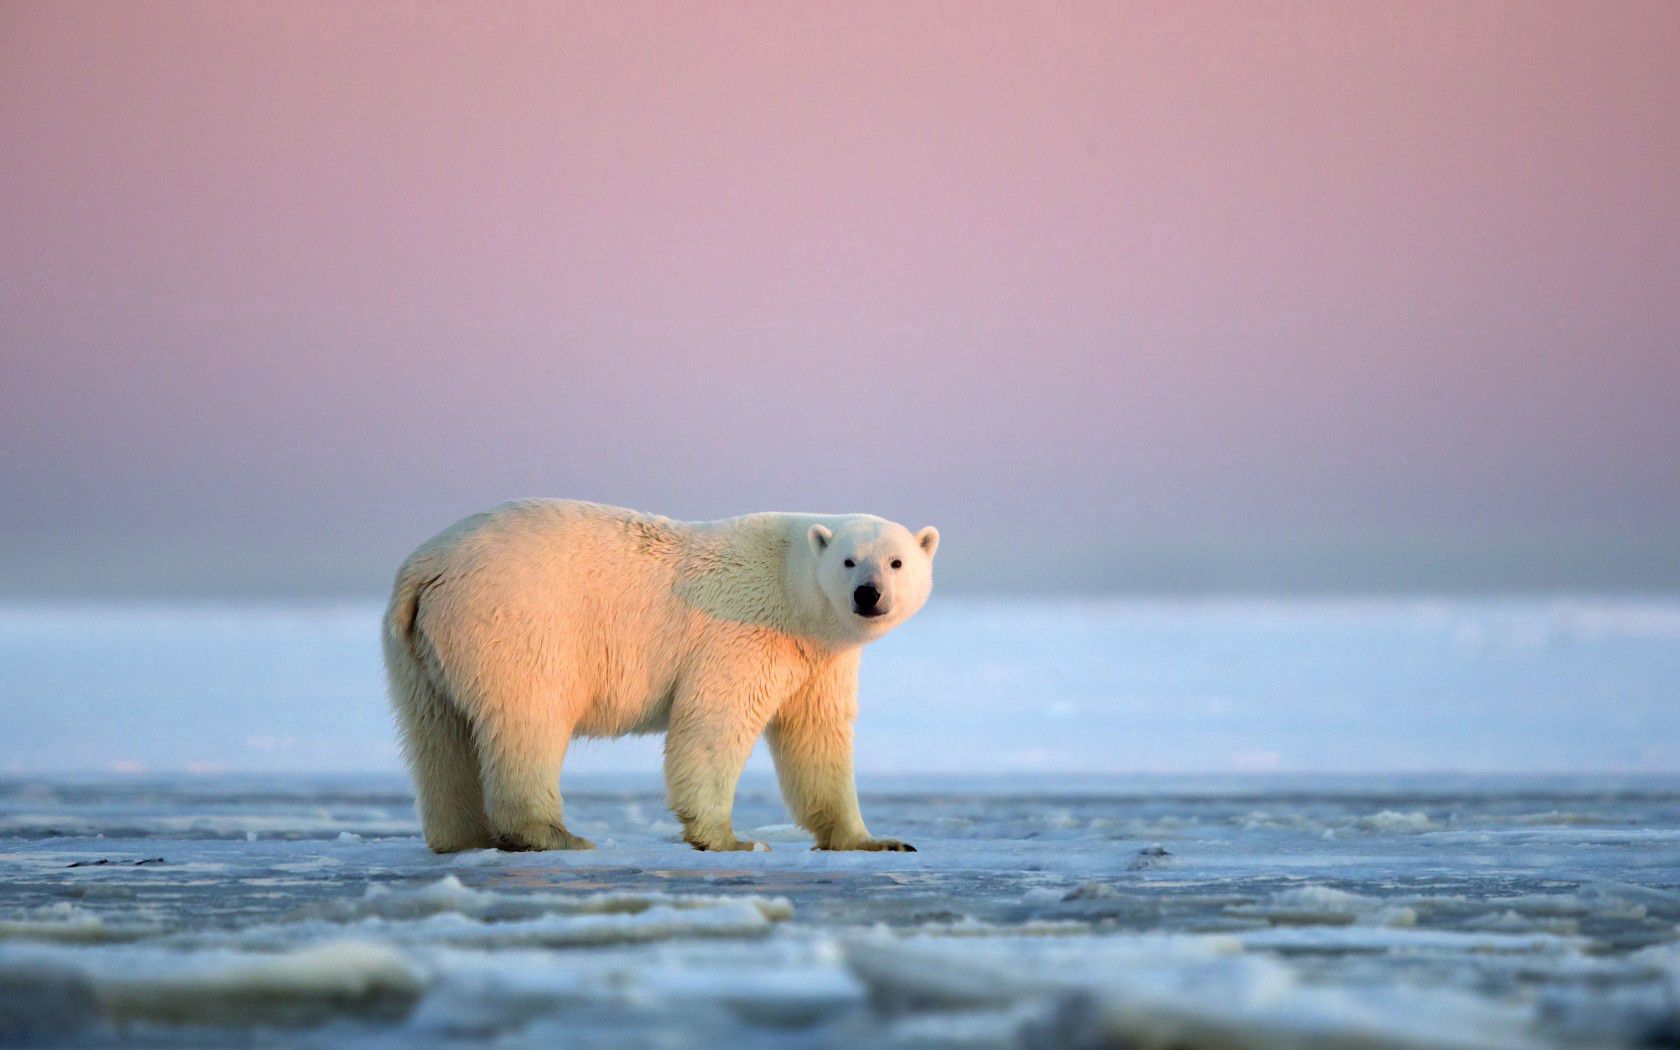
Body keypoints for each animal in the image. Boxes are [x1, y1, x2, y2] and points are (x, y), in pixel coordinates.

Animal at [383, 500, 940, 853]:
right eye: (849, 561)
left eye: (896, 561)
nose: (868, 594)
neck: (791, 587)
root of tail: (424, 568)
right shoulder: (742, 634)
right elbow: (713, 724)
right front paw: (732, 840)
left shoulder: (818, 659)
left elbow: (817, 739)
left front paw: (878, 841)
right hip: (513, 622)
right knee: (527, 721)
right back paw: (553, 834)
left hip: (417, 650)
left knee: (437, 737)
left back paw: (461, 837)